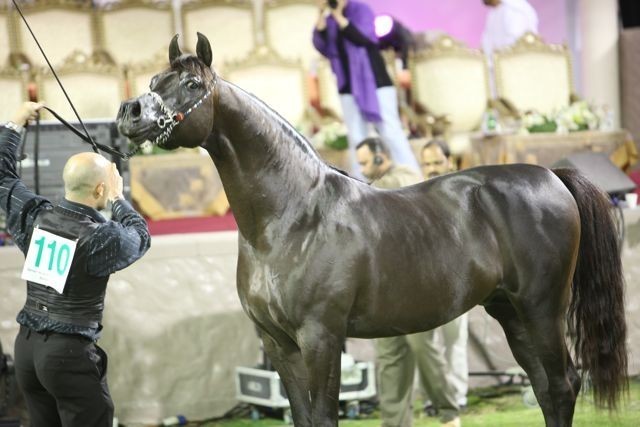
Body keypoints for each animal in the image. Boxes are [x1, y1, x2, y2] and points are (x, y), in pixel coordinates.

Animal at [116, 33, 627, 427]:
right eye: (154, 81)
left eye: (191, 83)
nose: (130, 113)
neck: (289, 218)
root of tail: (552, 176)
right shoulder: (277, 344)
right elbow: (302, 417)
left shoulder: (321, 337)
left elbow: (324, 417)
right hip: (510, 312)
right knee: (545, 388)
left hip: (543, 308)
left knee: (563, 385)